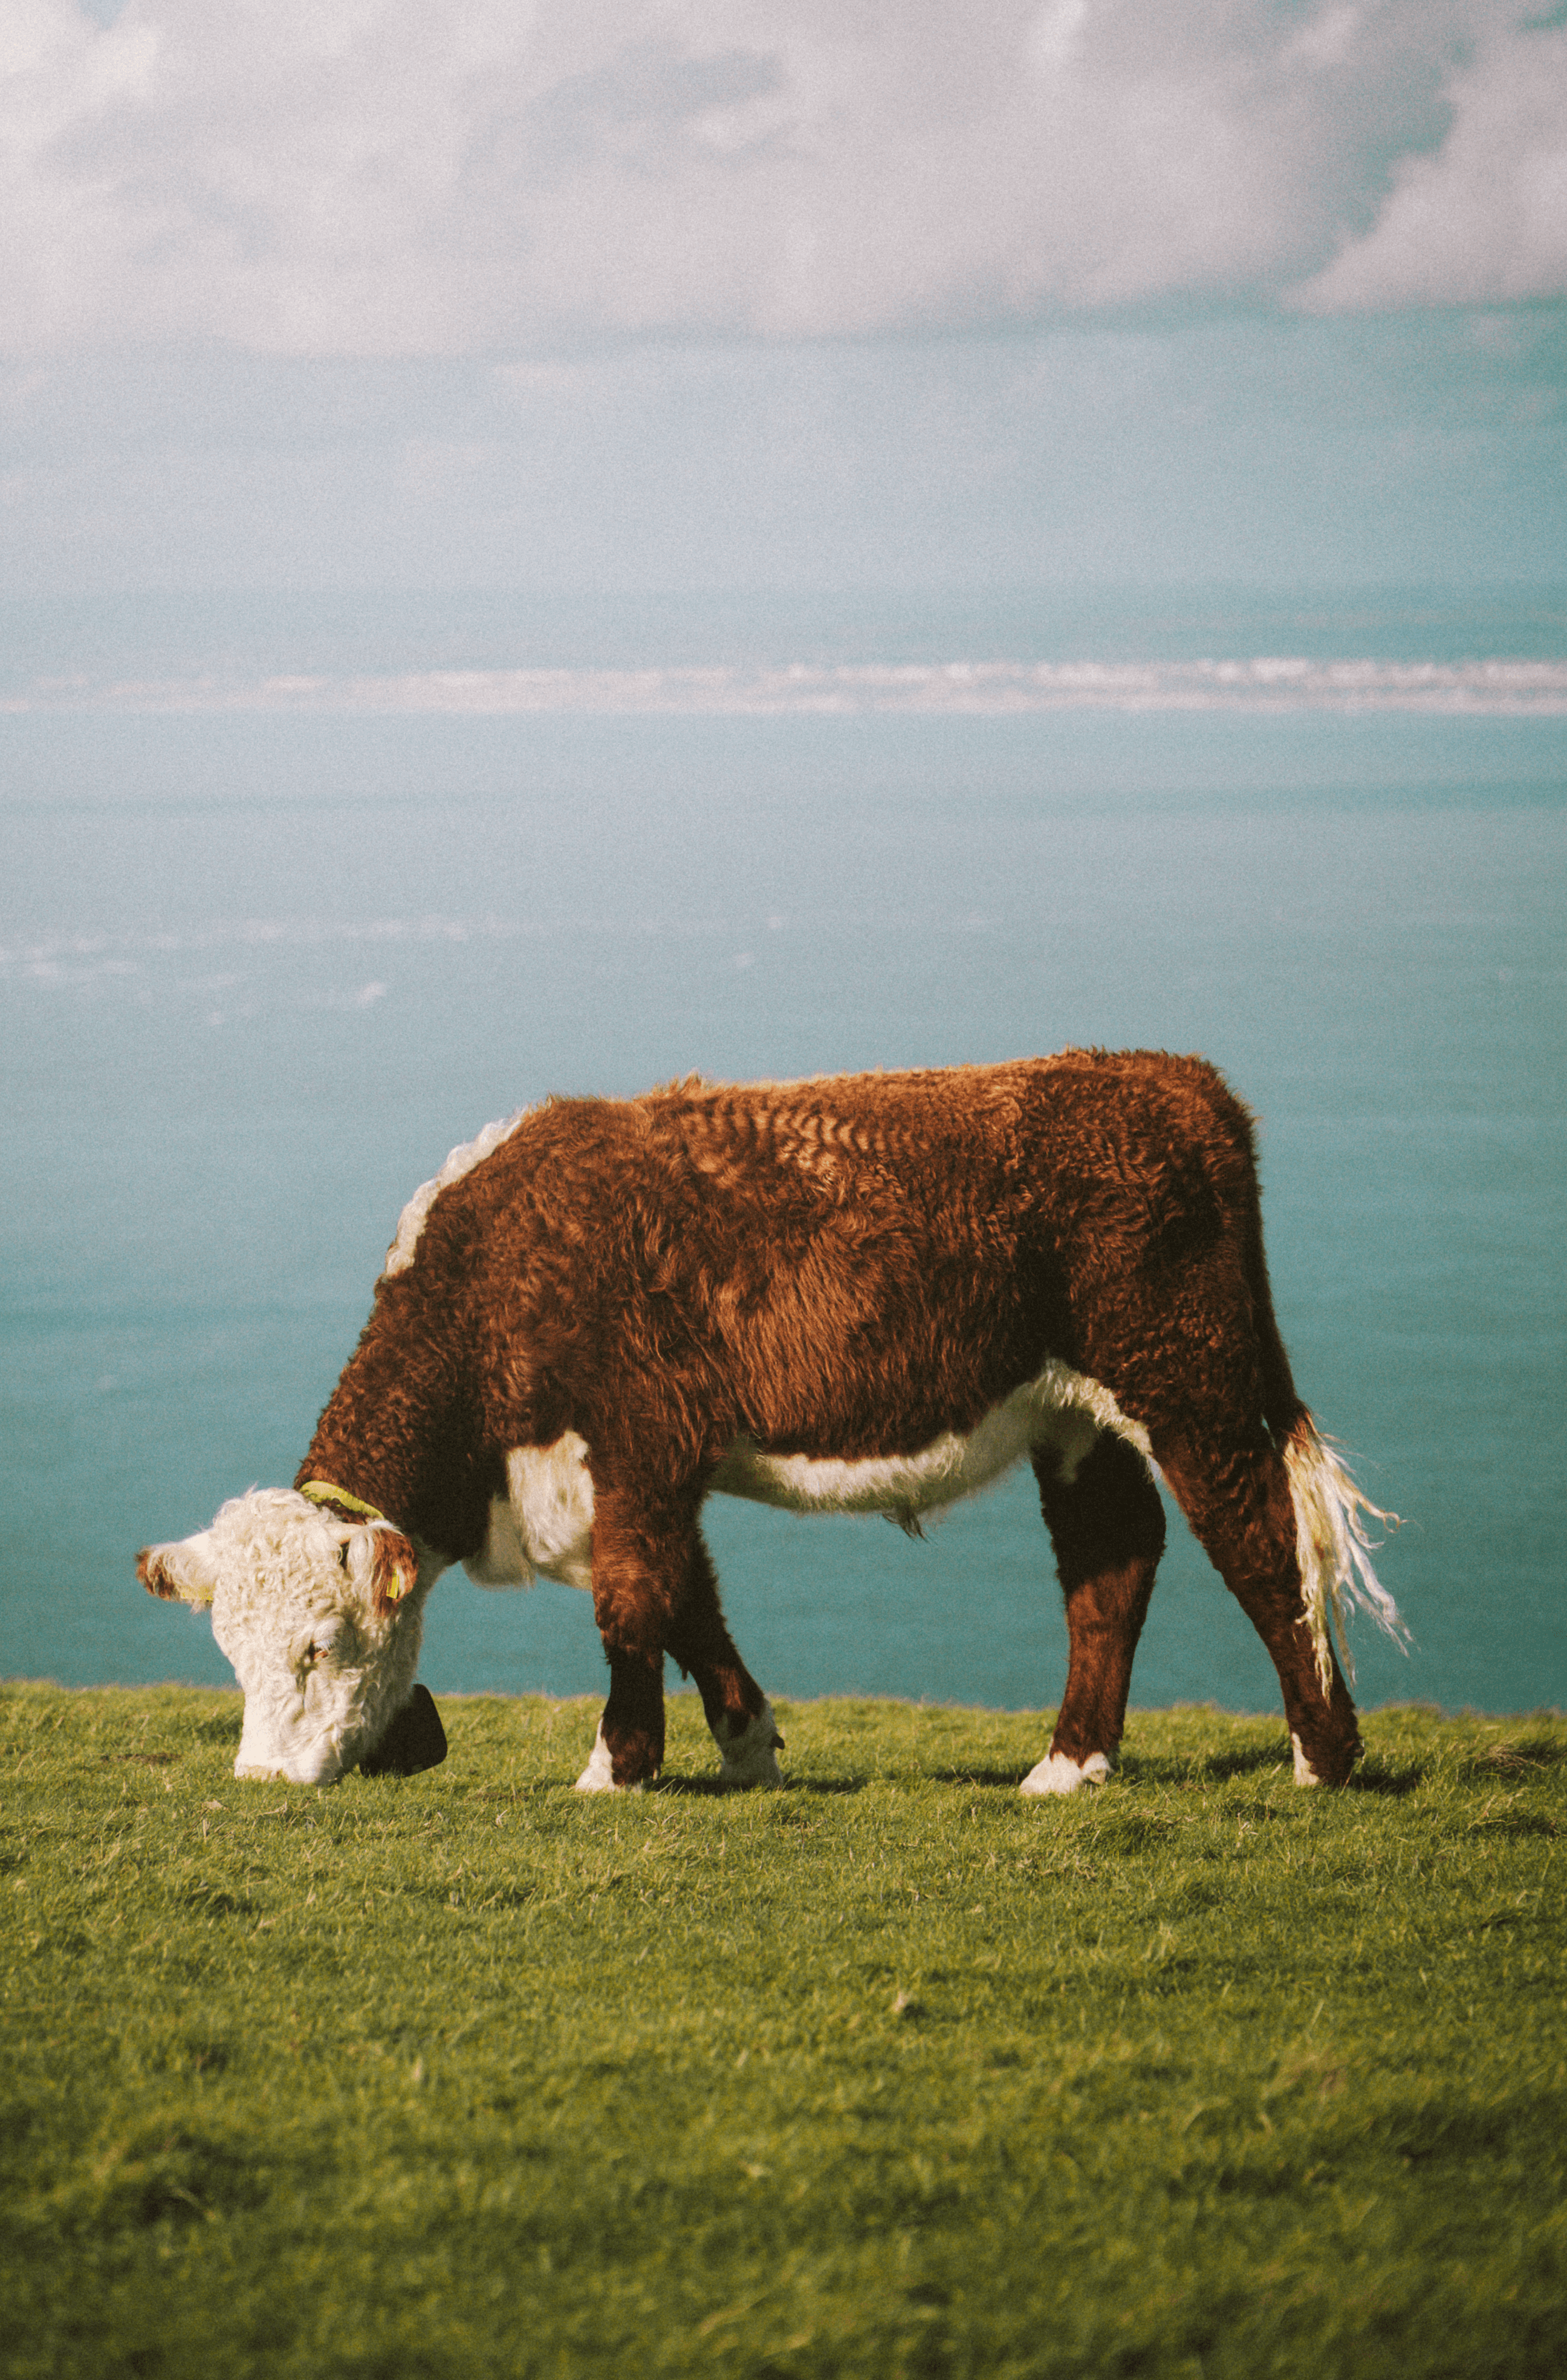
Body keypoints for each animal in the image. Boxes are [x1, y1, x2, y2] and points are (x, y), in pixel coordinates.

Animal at [139, 1052, 1403, 1794]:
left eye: (318, 1644)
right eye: (229, 1652)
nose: (262, 1780)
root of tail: (1175, 1078)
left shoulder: (638, 1444)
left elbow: (632, 1604)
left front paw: (617, 1767)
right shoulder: (641, 1472)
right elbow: (689, 1602)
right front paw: (745, 1747)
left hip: (1186, 1384)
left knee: (1257, 1546)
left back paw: (1323, 1755)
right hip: (1074, 1417)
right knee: (1112, 1564)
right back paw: (1069, 1764)